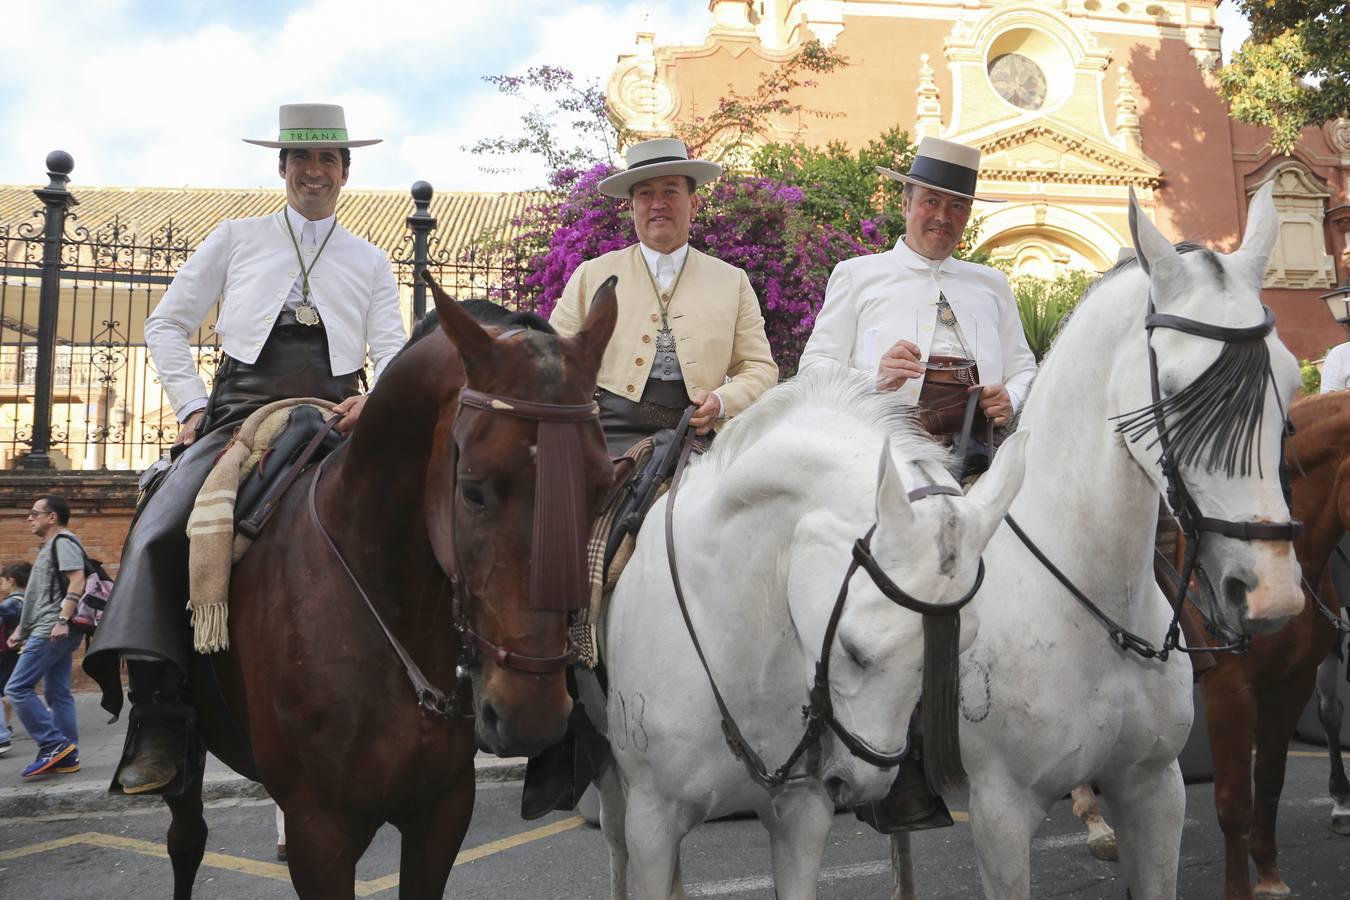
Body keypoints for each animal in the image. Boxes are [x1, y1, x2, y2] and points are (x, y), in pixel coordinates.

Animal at [166, 276, 618, 900]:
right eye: (473, 490)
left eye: (603, 488)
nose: (533, 715)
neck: (392, 608)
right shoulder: (319, 831)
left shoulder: (442, 812)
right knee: (186, 841)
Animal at [596, 367, 1026, 900]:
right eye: (854, 651)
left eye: (957, 650)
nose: (860, 785)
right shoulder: (651, 821)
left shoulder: (801, 816)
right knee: (613, 840)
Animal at [945, 184, 1301, 900]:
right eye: (1180, 393)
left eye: (1292, 384)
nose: (1271, 592)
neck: (1092, 604)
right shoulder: (999, 812)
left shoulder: (1156, 791)